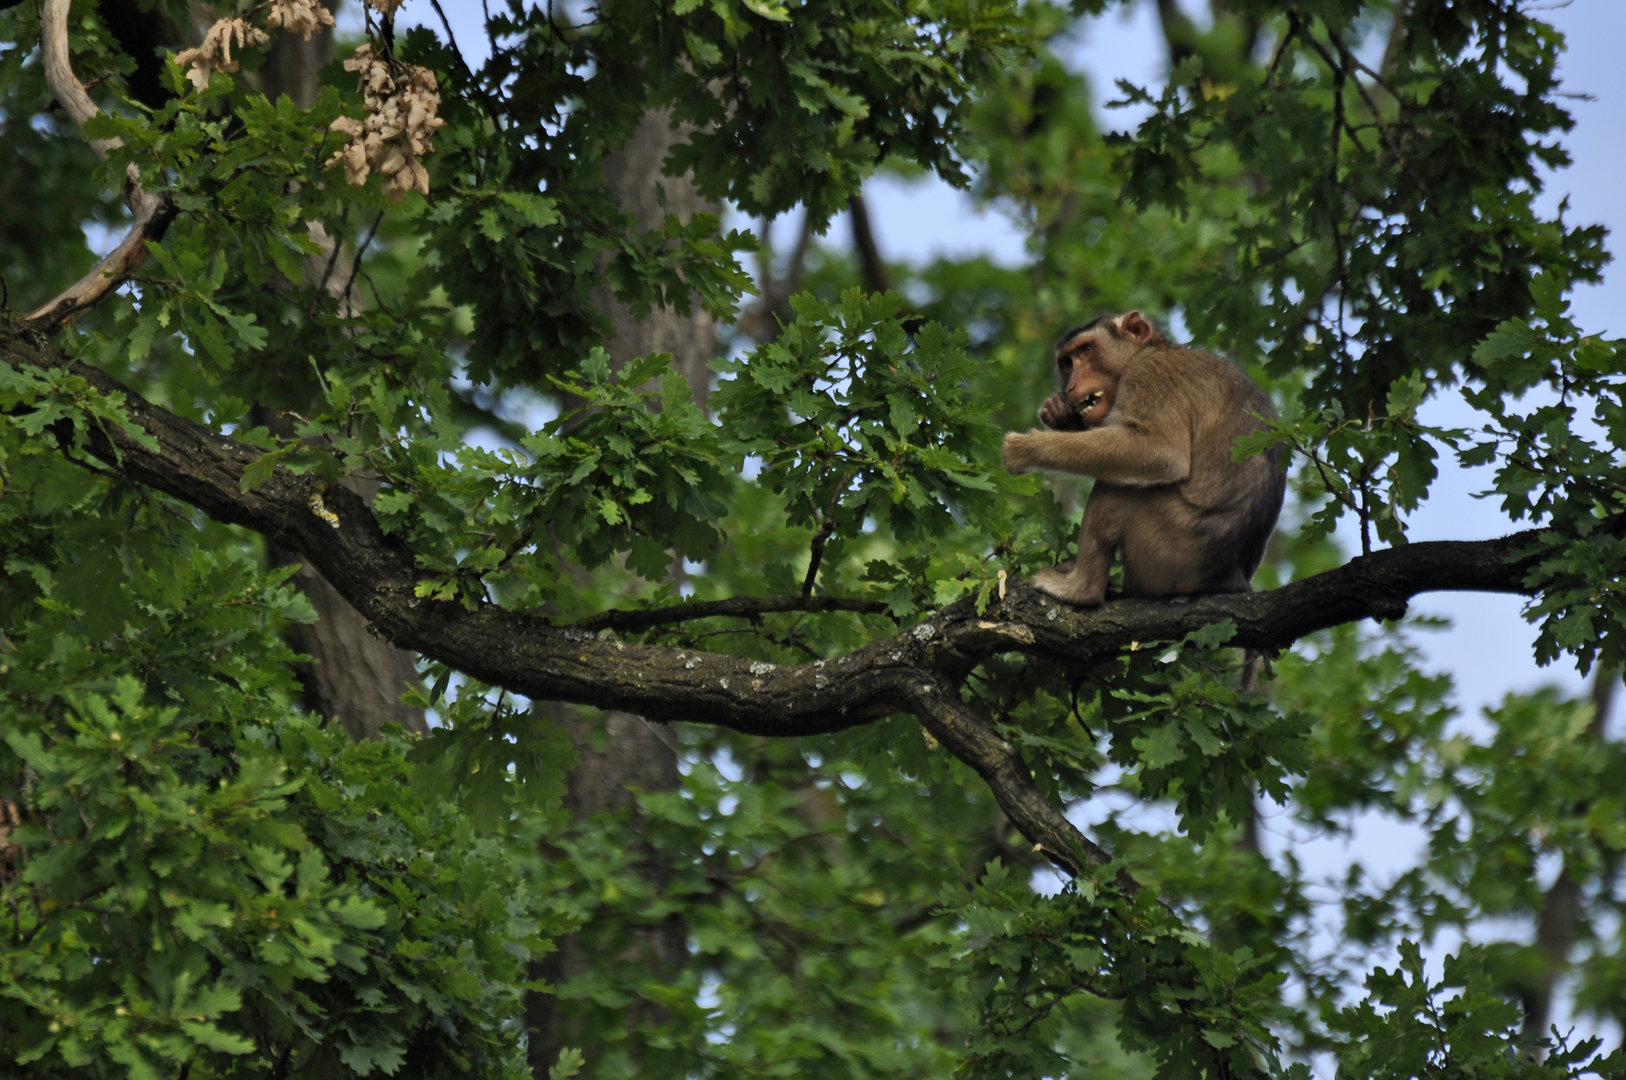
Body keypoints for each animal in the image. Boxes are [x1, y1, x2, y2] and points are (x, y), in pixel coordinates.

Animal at [1001, 311, 1284, 607]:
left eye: (1087, 350)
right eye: (1067, 363)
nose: (1072, 385)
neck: (1150, 350)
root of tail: (1232, 576)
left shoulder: (1149, 375)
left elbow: (1158, 451)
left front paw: (1026, 448)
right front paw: (1059, 412)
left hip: (1169, 549)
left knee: (1117, 486)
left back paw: (1081, 589)